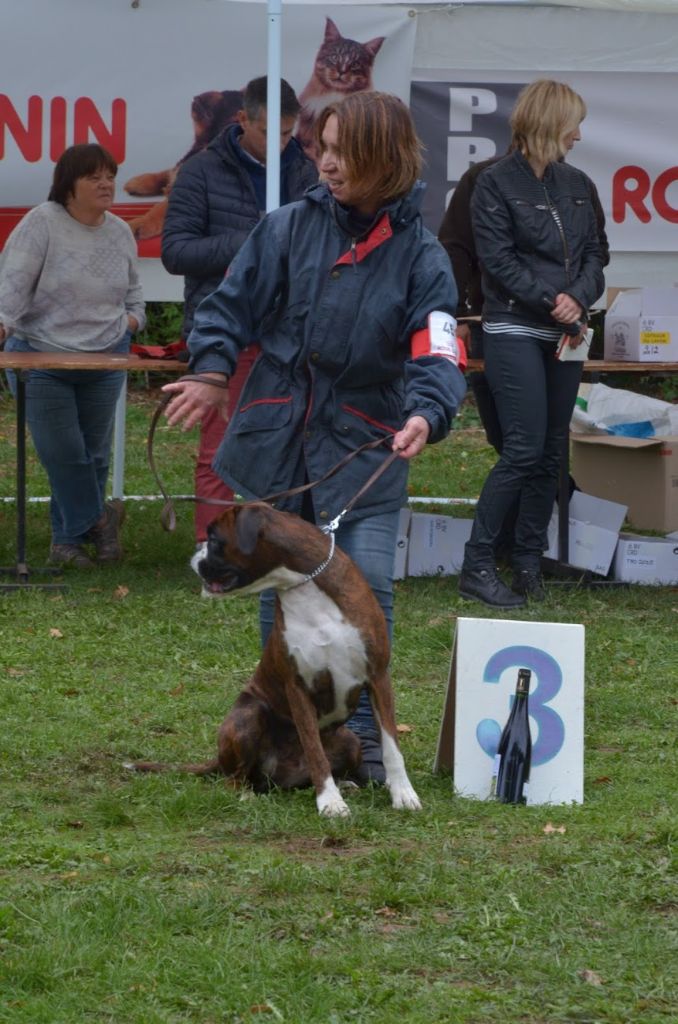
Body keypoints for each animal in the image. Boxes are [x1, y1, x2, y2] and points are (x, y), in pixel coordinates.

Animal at [130, 499, 421, 819]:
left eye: (215, 539)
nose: (194, 558)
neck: (305, 585)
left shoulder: (378, 677)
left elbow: (391, 747)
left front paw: (403, 793)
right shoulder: (298, 687)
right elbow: (314, 750)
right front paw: (330, 802)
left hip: (350, 740)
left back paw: (344, 784)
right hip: (249, 714)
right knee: (235, 779)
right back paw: (246, 795)